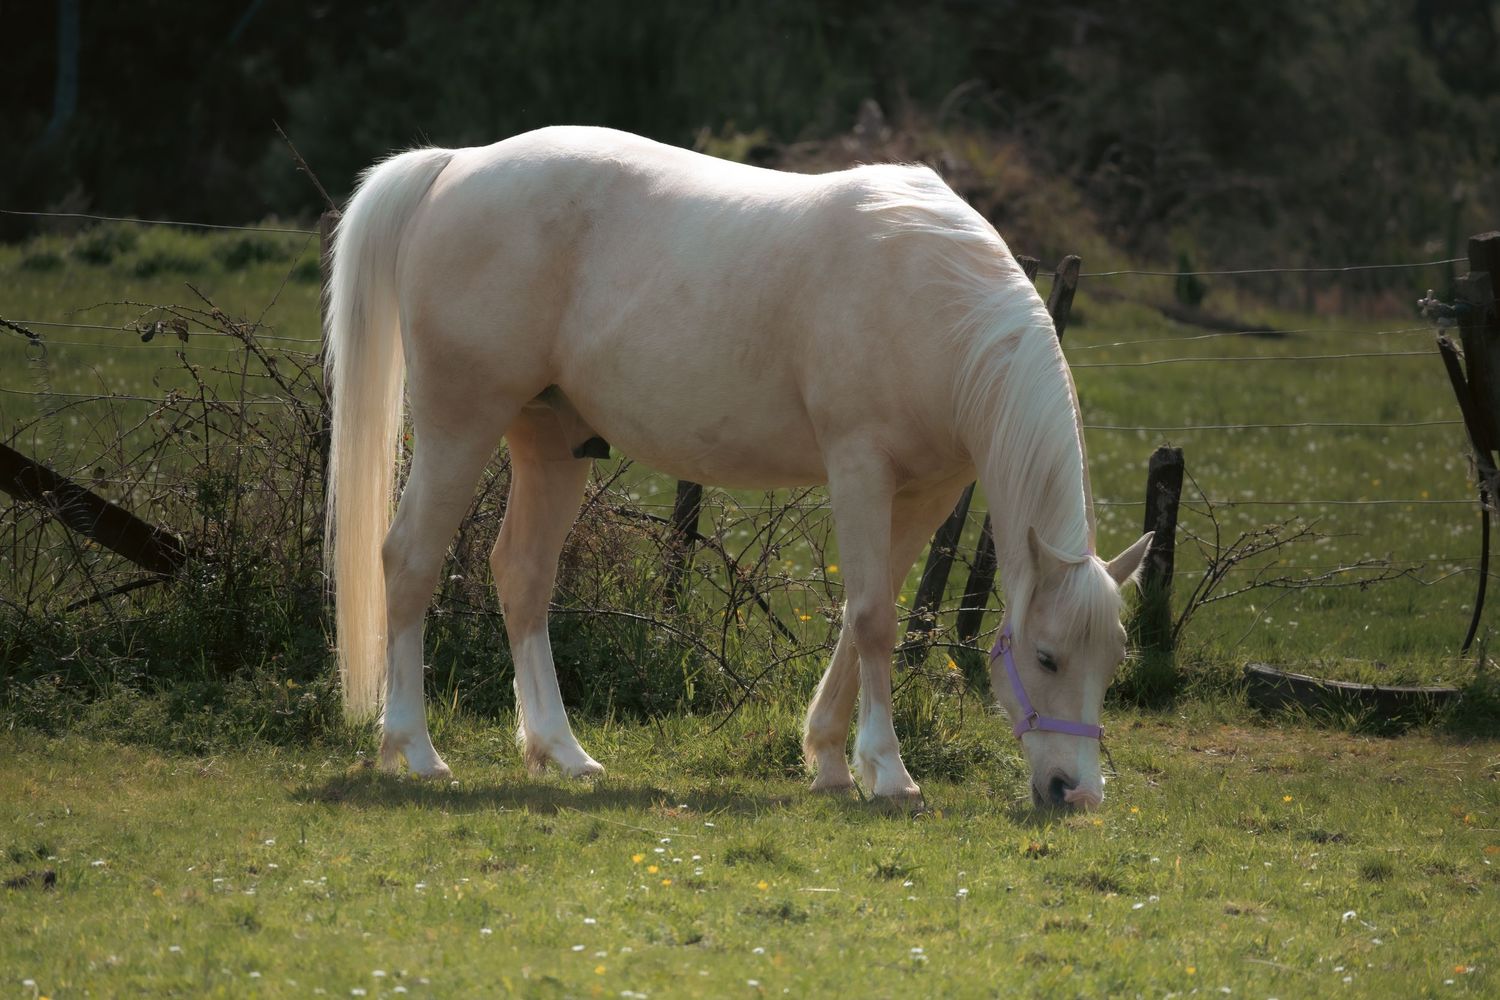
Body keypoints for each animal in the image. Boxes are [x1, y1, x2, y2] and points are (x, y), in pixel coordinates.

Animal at [325, 126, 1152, 809]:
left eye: (1113, 659)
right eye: (1045, 657)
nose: (1076, 794)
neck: (933, 297)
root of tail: (455, 164)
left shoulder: (927, 490)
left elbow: (866, 612)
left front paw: (829, 759)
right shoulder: (859, 467)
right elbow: (874, 618)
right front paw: (888, 772)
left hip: (550, 442)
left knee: (522, 576)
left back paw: (563, 752)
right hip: (459, 427)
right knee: (409, 560)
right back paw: (416, 750)